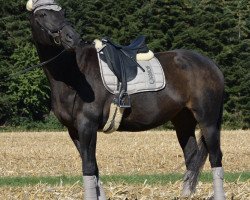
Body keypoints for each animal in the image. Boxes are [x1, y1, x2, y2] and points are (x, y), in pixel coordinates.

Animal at [26, 0, 226, 199]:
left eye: (63, 13)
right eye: (42, 14)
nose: (72, 37)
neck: (74, 74)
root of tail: (211, 65)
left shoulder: (87, 125)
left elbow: (88, 167)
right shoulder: (73, 130)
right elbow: (93, 167)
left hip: (208, 121)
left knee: (215, 157)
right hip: (183, 121)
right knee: (191, 157)